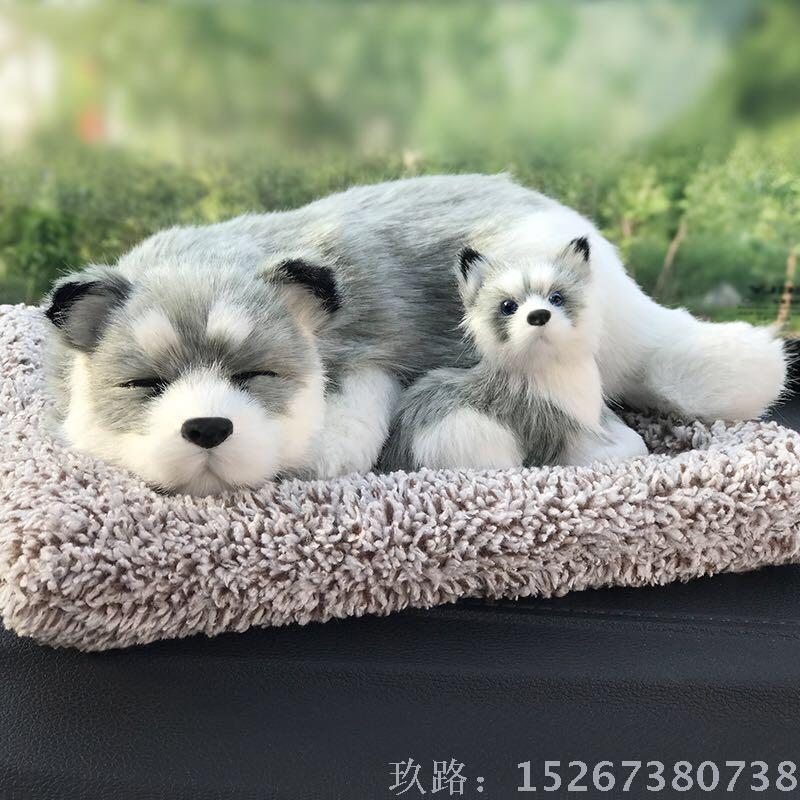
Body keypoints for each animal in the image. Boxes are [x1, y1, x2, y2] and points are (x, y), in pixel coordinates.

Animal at [379, 237, 648, 471]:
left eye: (556, 298)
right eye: (508, 306)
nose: (538, 315)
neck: (548, 368)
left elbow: (630, 436)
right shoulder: (564, 438)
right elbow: (632, 447)